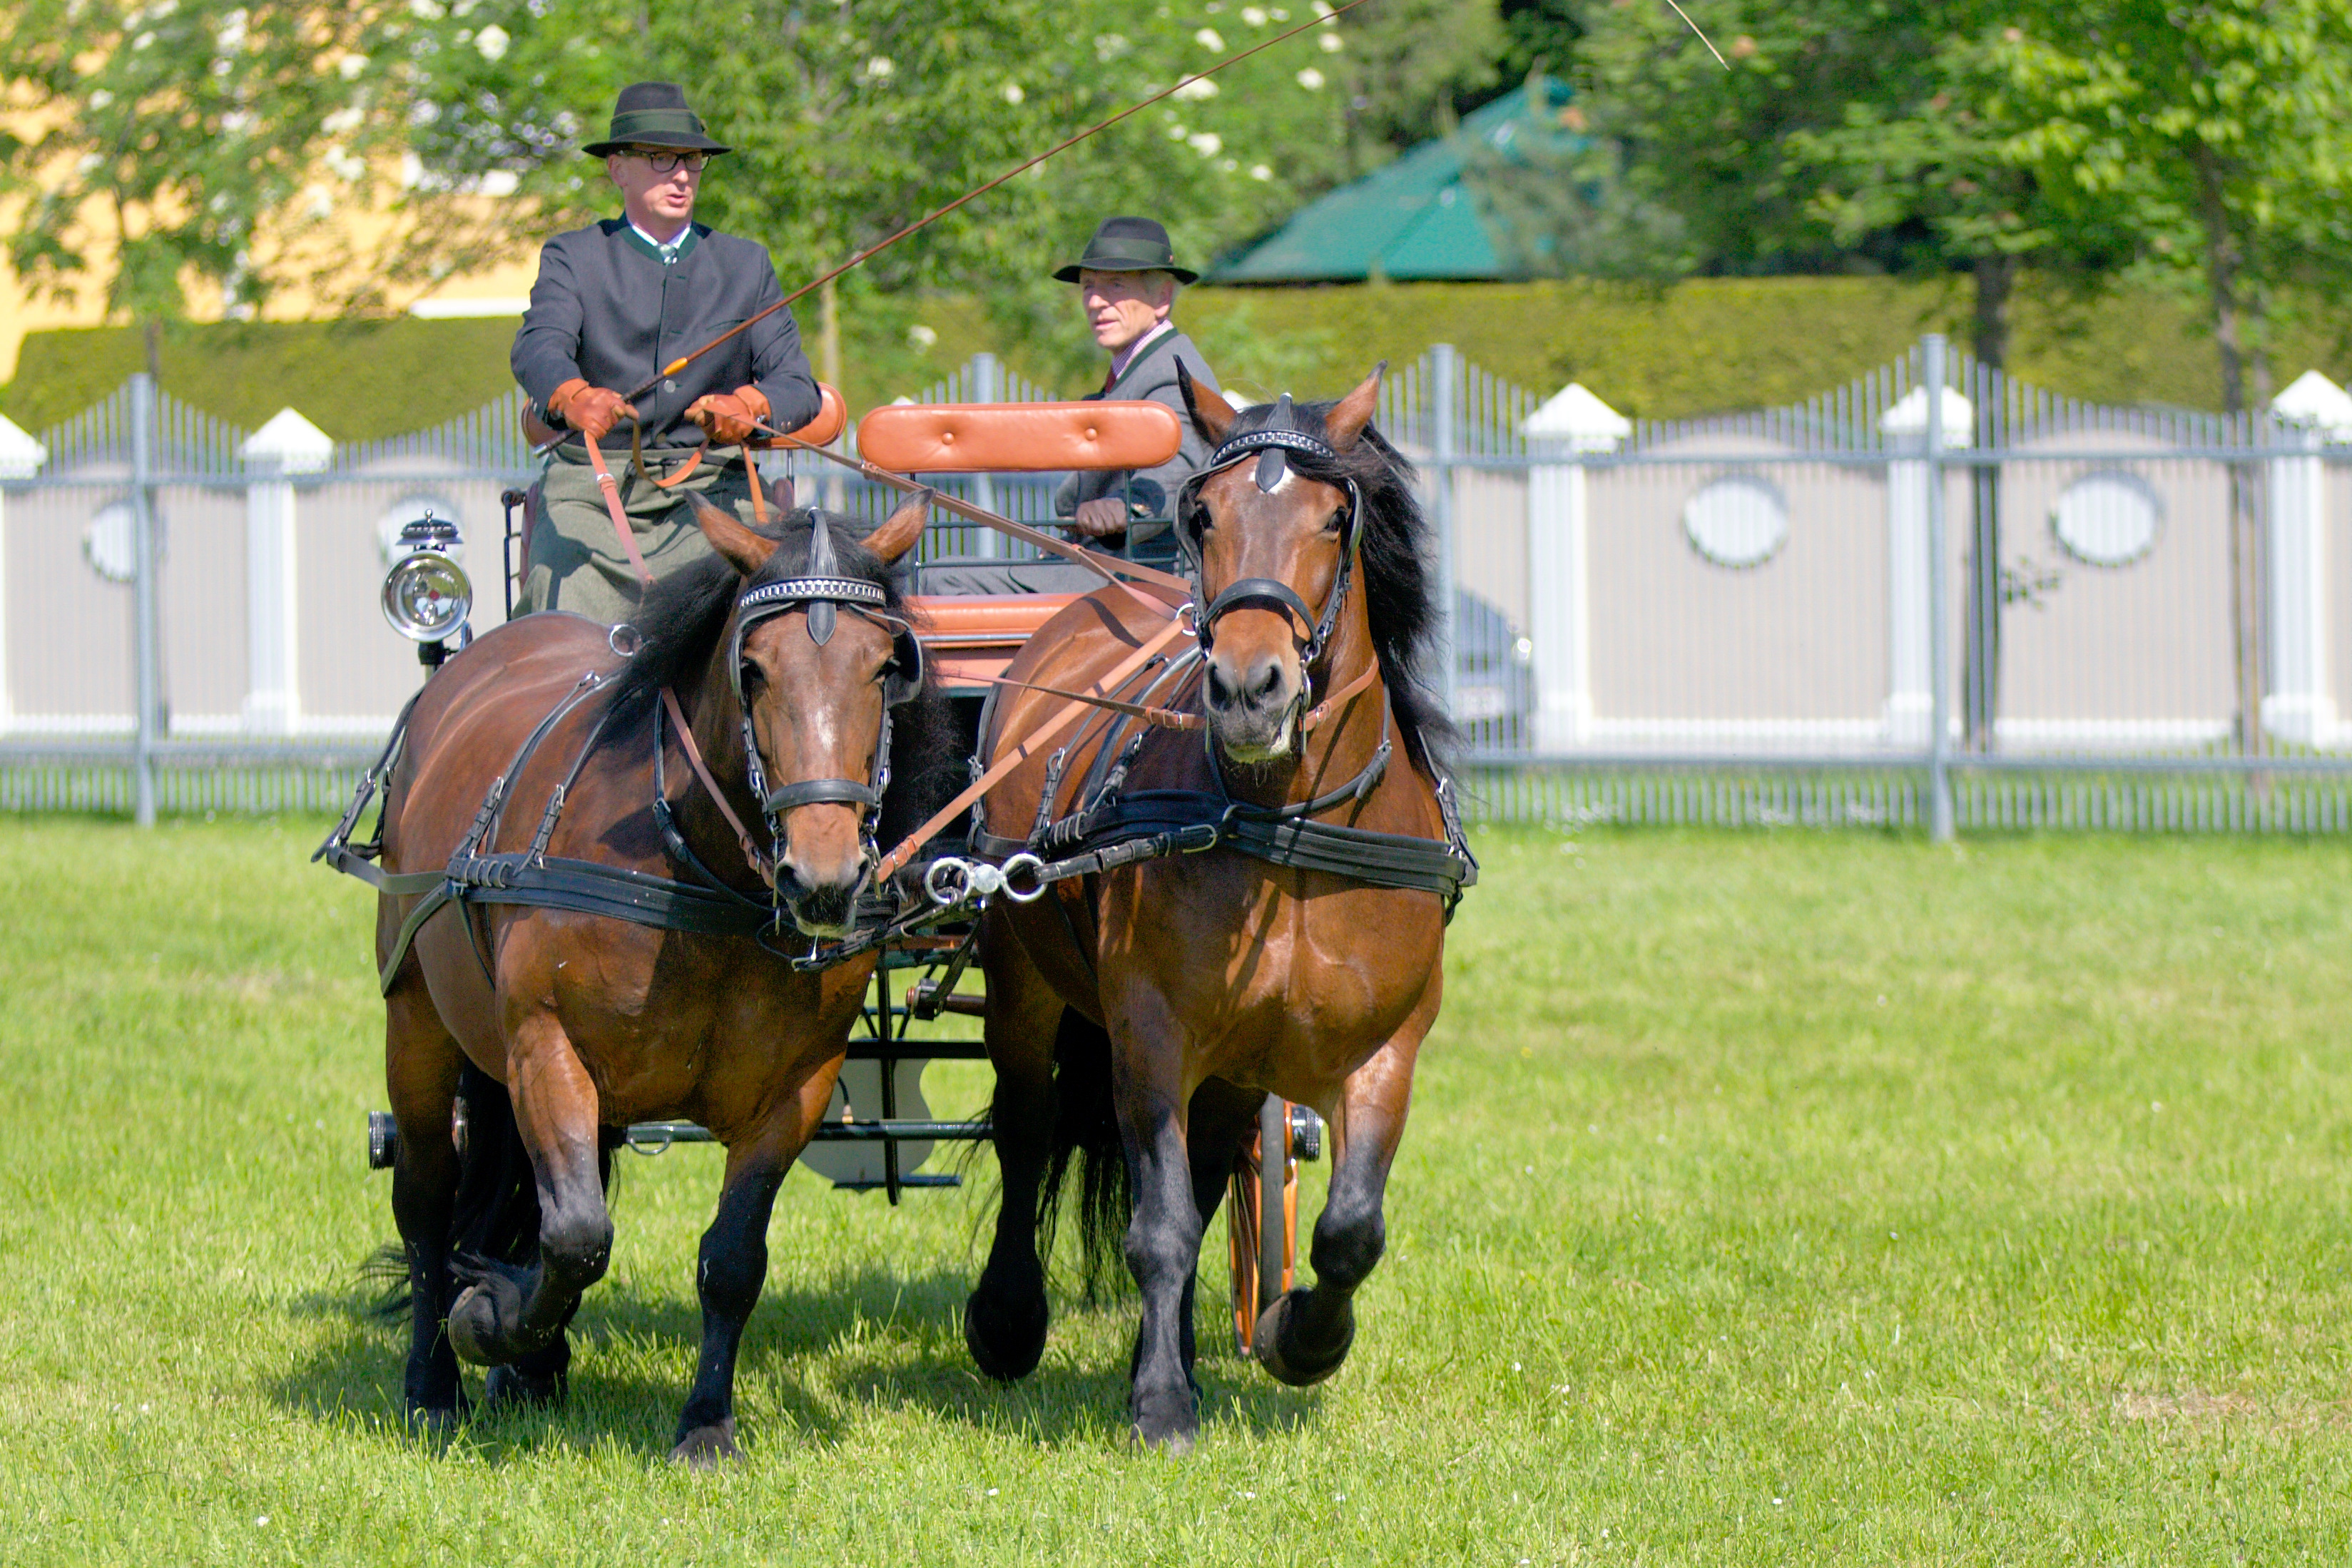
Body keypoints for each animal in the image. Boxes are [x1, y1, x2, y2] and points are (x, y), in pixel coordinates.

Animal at [357, 491, 945, 1457]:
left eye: (883, 666)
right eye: (753, 668)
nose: (823, 877)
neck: (695, 869)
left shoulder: (795, 1087)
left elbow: (731, 1258)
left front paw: (705, 1426)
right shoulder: (543, 1047)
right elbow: (577, 1235)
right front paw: (489, 1320)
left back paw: (532, 1366)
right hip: (419, 1024)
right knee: (427, 1200)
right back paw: (434, 1382)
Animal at [964, 369, 1458, 1447]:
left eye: (1334, 518)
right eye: (1203, 514)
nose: (1246, 687)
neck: (1288, 827)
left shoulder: (1385, 1047)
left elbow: (1348, 1229)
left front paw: (1300, 1338)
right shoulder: (1152, 1032)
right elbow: (1157, 1227)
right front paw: (1157, 1403)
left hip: (1234, 1065)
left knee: (1202, 1165)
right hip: (1023, 986)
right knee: (1027, 1132)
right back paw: (1011, 1319)